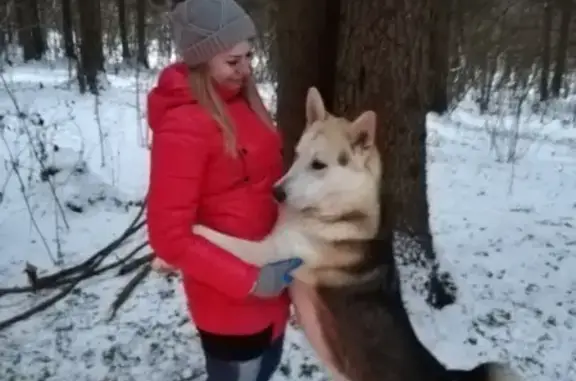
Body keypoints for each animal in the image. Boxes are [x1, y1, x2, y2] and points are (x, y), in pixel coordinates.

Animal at [152, 87, 520, 380]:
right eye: (297, 155)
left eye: (319, 165)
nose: (276, 193)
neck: (335, 213)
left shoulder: (271, 252)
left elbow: (220, 240)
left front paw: (176, 244)